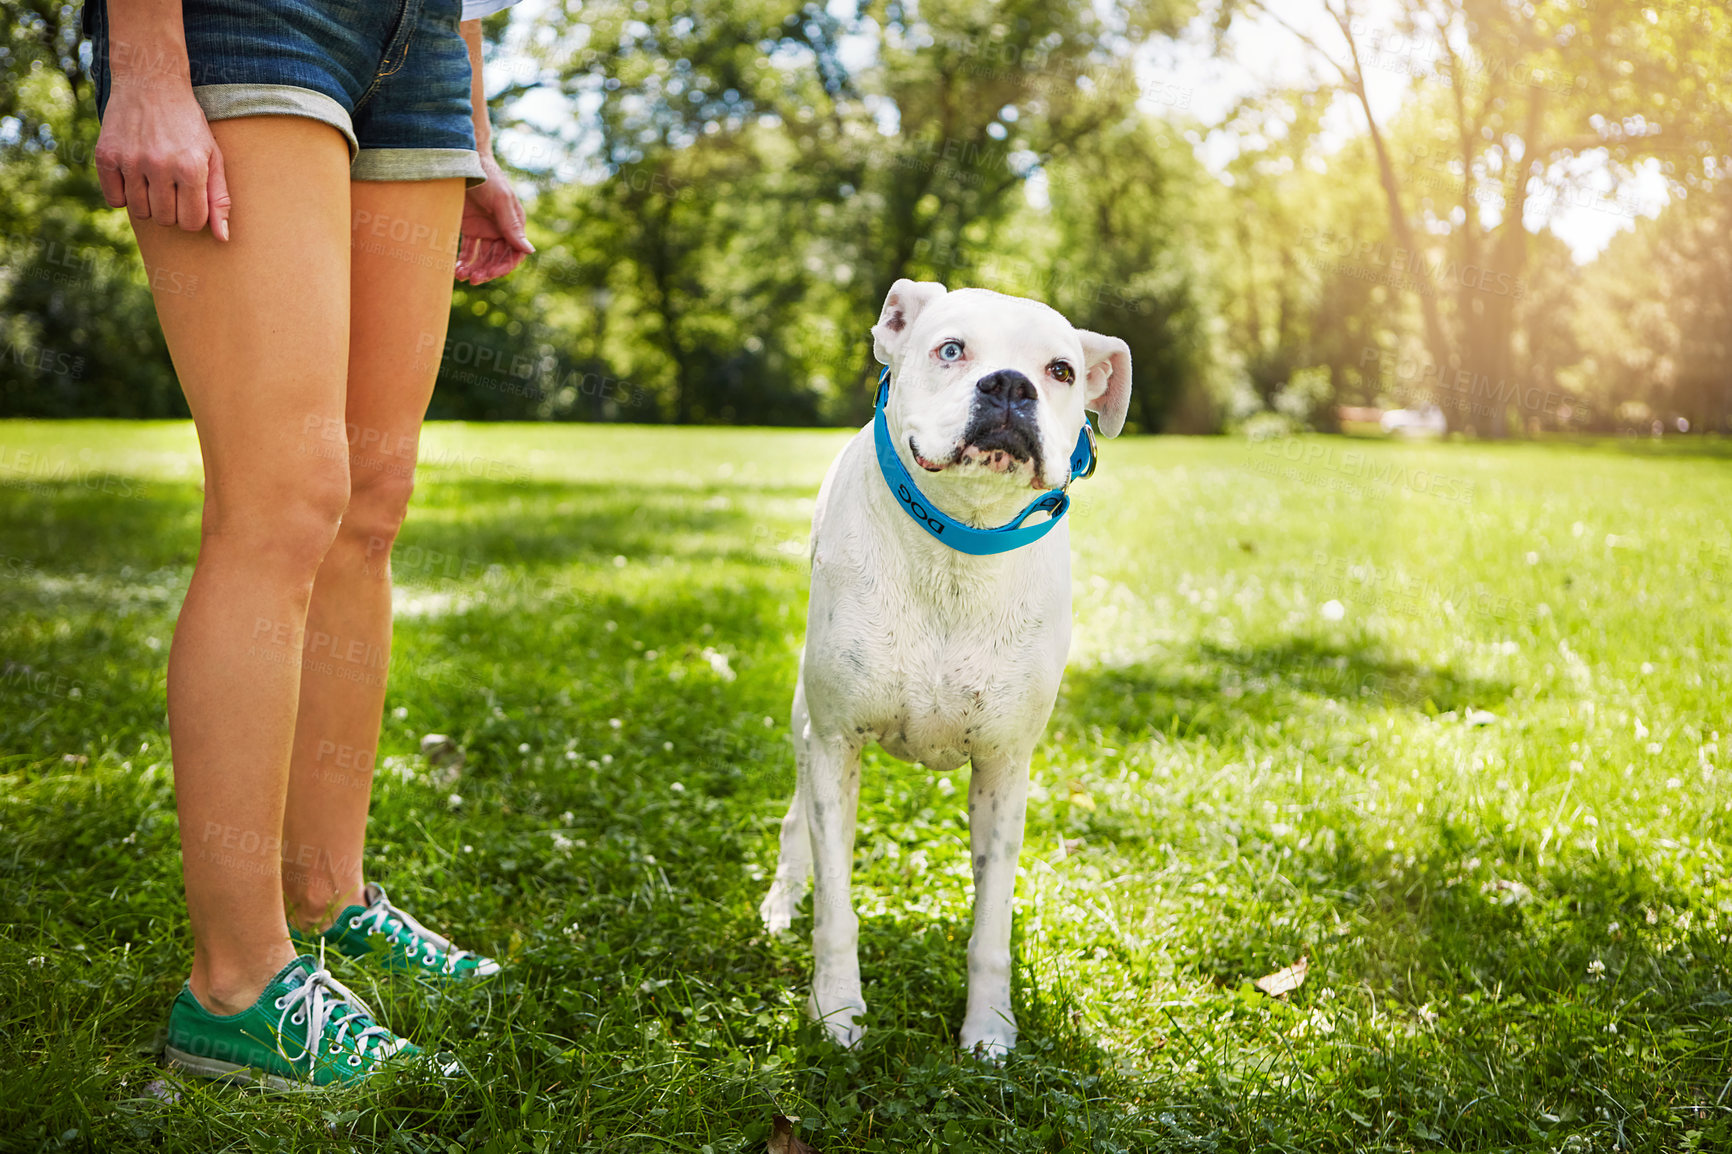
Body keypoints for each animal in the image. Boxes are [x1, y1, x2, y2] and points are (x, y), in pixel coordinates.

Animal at [762, 277, 1136, 1053]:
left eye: (1061, 370)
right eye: (952, 349)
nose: (1010, 385)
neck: (957, 546)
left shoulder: (1003, 769)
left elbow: (991, 921)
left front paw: (990, 1029)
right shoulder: (835, 745)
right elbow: (836, 909)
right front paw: (836, 1012)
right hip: (806, 730)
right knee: (793, 827)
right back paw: (781, 906)